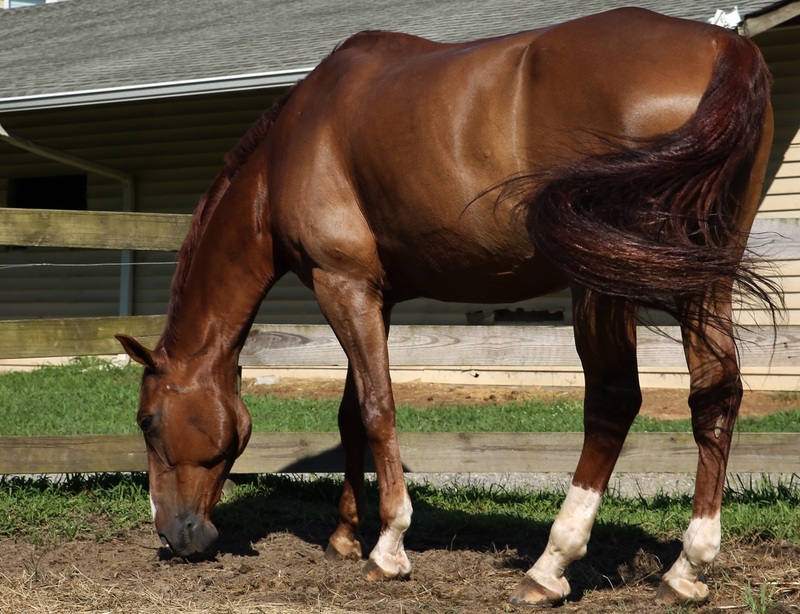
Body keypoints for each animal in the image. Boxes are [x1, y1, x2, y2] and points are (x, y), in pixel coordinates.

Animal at [114, 7, 776, 608]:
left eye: (146, 421)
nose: (175, 536)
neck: (292, 149)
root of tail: (723, 47)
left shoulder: (341, 284)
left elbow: (378, 410)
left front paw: (388, 549)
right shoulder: (370, 295)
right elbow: (352, 414)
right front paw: (345, 535)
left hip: (602, 283)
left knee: (614, 401)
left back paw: (549, 566)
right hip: (704, 275)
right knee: (716, 394)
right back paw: (687, 569)